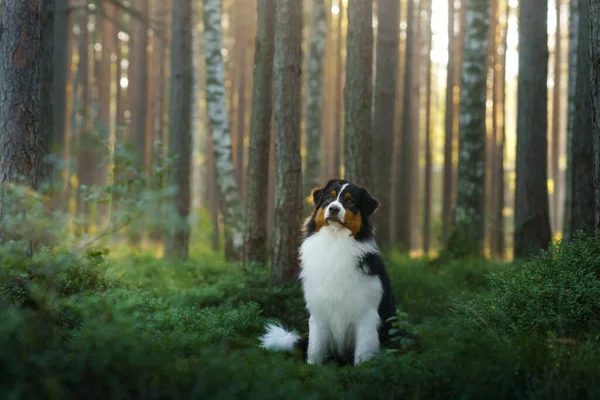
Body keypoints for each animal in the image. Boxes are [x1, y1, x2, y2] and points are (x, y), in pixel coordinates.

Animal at [258, 180, 398, 368]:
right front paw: (312, 368)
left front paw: (362, 370)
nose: (333, 209)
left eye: (350, 201)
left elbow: (363, 352)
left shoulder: (367, 314)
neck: (334, 240)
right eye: (329, 198)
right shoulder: (318, 311)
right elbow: (316, 348)